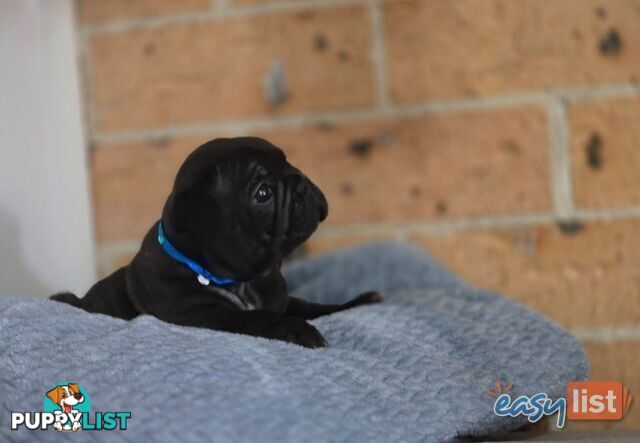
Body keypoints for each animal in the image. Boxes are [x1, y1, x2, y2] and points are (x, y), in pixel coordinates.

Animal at [53, 137, 380, 348]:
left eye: (289, 162)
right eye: (263, 193)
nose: (300, 182)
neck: (242, 279)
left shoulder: (283, 300)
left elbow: (311, 305)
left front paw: (358, 302)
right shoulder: (202, 315)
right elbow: (255, 318)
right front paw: (295, 329)